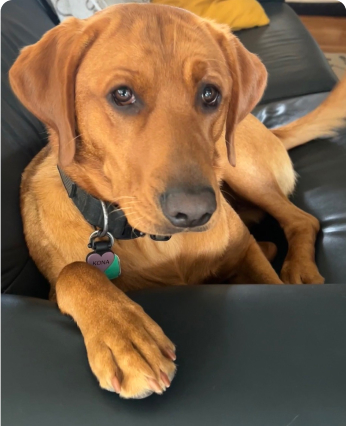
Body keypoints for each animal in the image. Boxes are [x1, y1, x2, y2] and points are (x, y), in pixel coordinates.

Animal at [8, 3, 346, 400]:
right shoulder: (55, 285)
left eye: (210, 94)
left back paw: (300, 267)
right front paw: (125, 336)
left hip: (240, 168)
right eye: (122, 94)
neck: (159, 246)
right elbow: (75, 271)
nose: (196, 212)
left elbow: (268, 280)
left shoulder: (244, 251)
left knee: (302, 220)